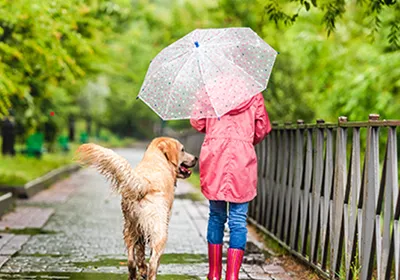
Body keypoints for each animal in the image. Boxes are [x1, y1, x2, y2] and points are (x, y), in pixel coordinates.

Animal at [74, 138, 197, 280]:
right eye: (183, 150)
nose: (196, 158)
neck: (157, 158)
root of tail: (144, 184)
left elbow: (139, 252)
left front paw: (142, 269)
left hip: (130, 227)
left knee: (131, 260)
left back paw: (135, 274)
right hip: (159, 231)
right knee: (153, 262)